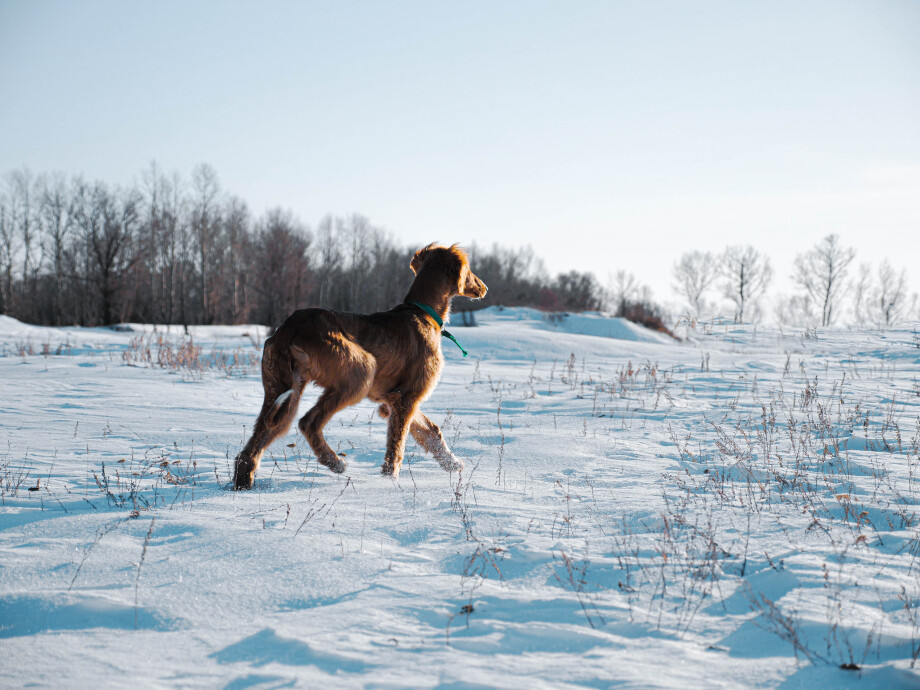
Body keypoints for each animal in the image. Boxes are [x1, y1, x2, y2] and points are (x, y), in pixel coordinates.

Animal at [234, 243, 486, 490]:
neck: (422, 313)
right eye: (469, 270)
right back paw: (335, 462)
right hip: (360, 371)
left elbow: (430, 431)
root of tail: (289, 327)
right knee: (308, 422)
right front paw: (390, 483)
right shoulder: (404, 399)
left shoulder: (394, 400)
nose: (484, 288)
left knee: (252, 446)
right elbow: (397, 448)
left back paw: (243, 485)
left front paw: (453, 464)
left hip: (281, 390)